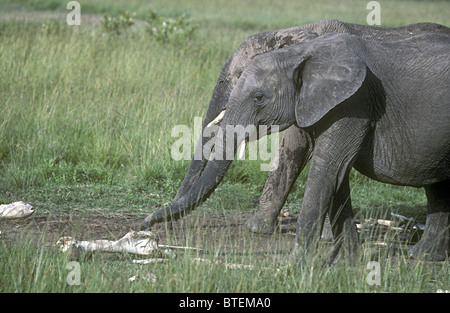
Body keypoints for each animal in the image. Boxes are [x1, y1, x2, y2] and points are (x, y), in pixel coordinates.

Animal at [144, 31, 450, 260]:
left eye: (259, 97)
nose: (146, 223)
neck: (300, 51)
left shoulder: (354, 103)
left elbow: (326, 170)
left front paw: (296, 266)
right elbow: (337, 177)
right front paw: (346, 263)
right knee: (438, 190)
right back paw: (422, 257)